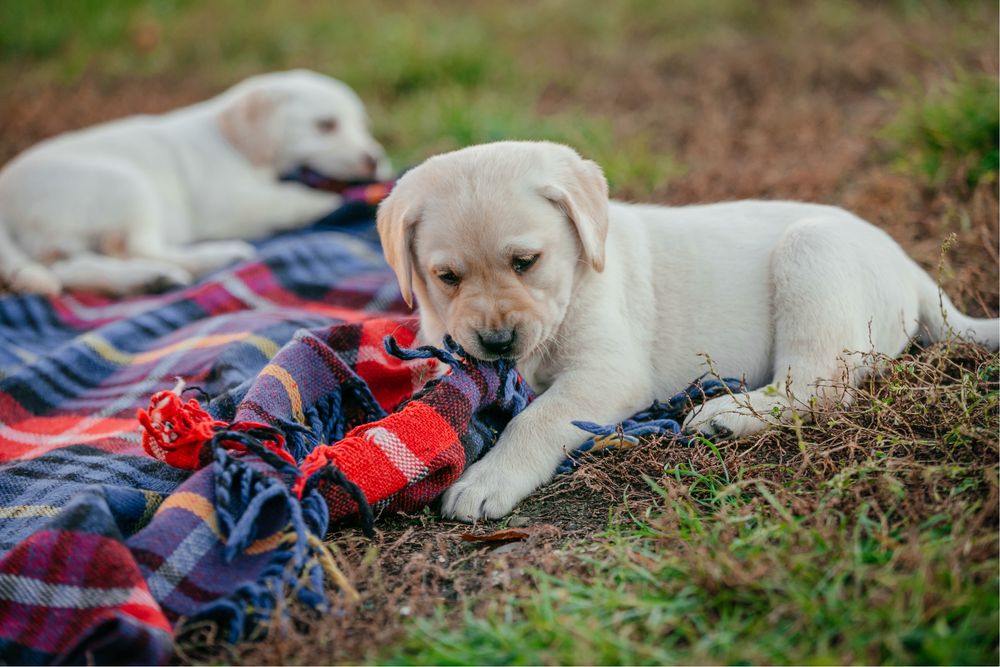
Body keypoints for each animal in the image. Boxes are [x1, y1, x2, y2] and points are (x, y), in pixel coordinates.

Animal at [0, 70, 390, 294]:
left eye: (363, 125)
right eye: (326, 125)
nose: (372, 159)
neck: (234, 141)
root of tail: (5, 190)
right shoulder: (235, 205)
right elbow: (293, 198)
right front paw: (344, 199)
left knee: (74, 267)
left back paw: (149, 278)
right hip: (127, 183)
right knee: (137, 247)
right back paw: (216, 256)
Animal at [376, 141, 1000, 524]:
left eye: (526, 262)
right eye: (447, 277)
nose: (498, 344)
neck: (579, 274)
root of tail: (913, 271)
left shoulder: (610, 372)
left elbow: (538, 417)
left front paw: (489, 479)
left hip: (813, 252)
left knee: (819, 386)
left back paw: (726, 416)